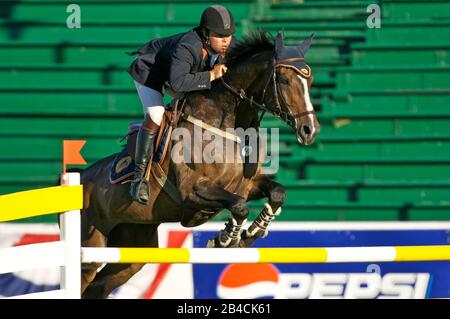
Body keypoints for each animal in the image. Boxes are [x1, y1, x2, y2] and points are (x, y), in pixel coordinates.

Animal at [77, 31, 320, 298]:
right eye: (285, 80)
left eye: (309, 81)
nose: (309, 130)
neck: (228, 125)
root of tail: (79, 177)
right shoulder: (192, 190)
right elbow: (239, 206)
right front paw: (226, 239)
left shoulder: (247, 185)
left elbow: (276, 193)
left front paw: (251, 233)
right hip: (90, 250)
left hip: (133, 248)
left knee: (100, 285)